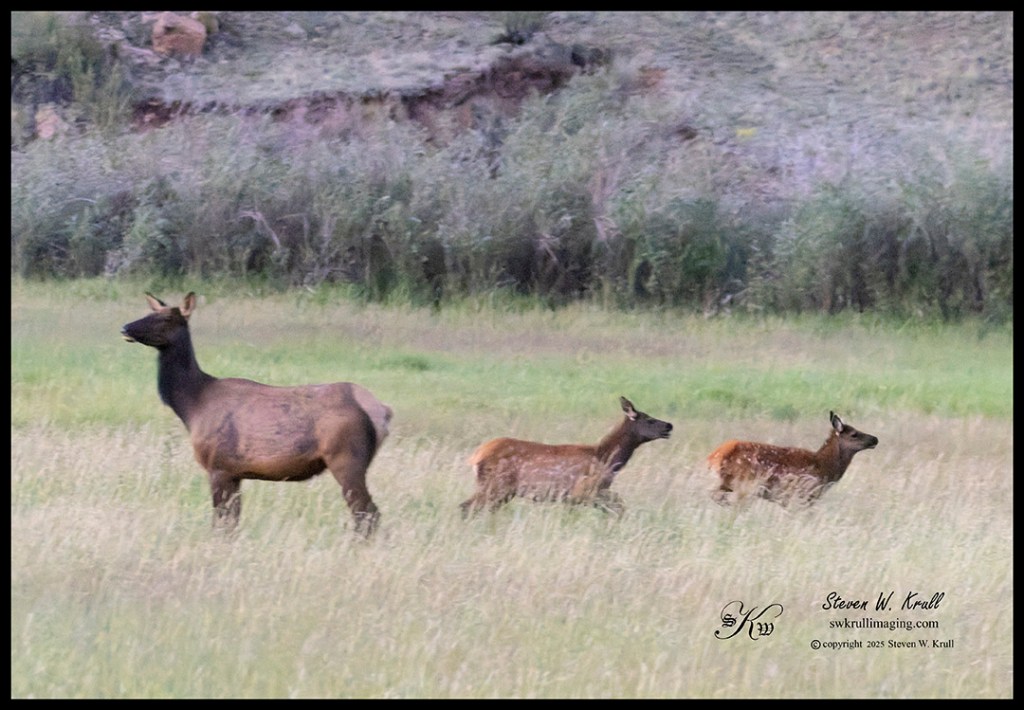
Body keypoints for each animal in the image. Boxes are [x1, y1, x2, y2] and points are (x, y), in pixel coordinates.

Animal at [122, 292, 393, 536]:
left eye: (166, 318)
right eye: (149, 313)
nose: (125, 327)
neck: (192, 405)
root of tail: (381, 410)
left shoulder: (218, 466)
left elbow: (220, 522)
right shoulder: (235, 473)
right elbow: (232, 521)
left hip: (346, 459)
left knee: (368, 513)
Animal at [460, 396, 672, 517]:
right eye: (649, 419)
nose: (669, 425)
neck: (606, 458)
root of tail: (476, 456)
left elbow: (619, 506)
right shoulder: (583, 490)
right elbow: (618, 506)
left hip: (502, 490)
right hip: (496, 484)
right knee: (466, 506)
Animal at [707, 411, 878, 507]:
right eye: (854, 434)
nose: (875, 439)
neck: (825, 467)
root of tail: (716, 454)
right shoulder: (800, 494)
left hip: (728, 482)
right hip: (744, 483)